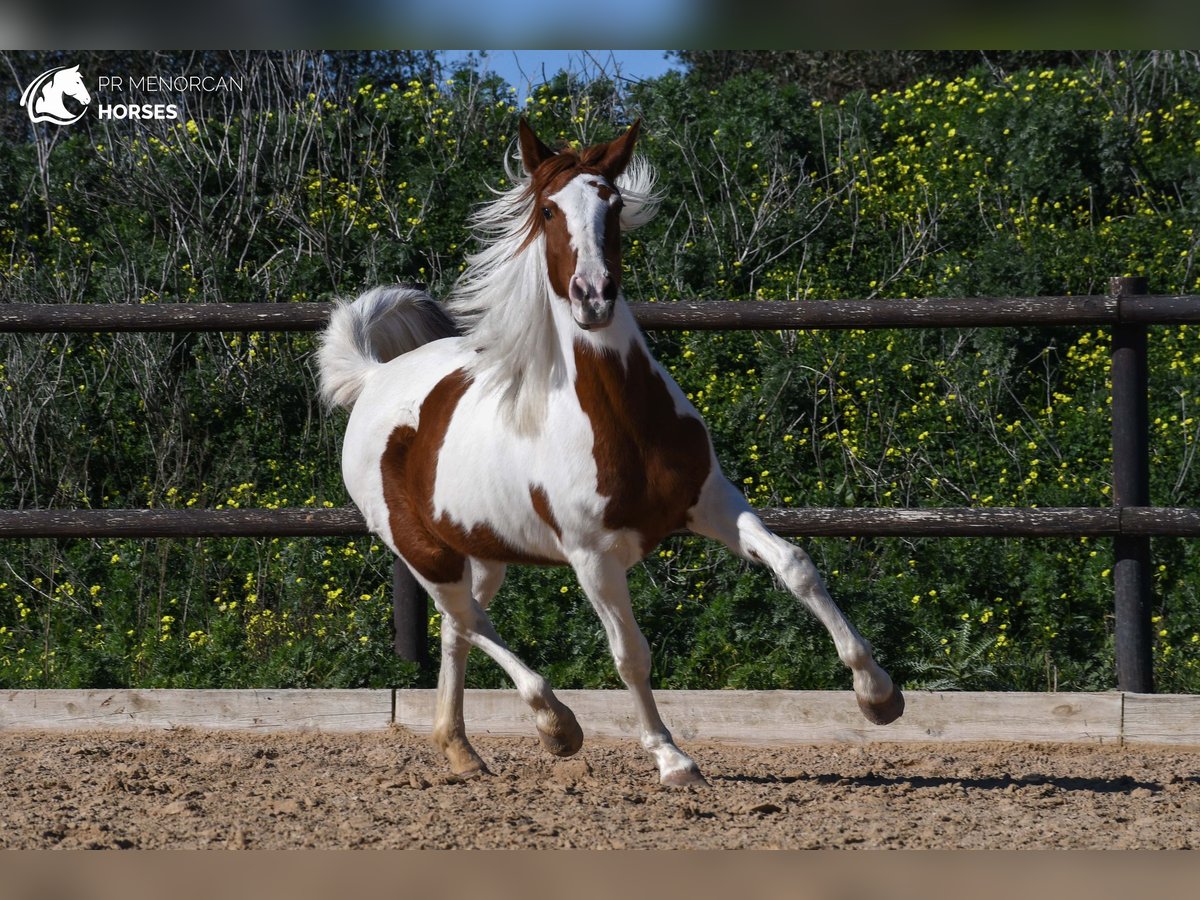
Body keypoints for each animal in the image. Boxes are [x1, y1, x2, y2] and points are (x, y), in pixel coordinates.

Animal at [319, 121, 902, 787]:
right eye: (548, 210)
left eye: (614, 204)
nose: (593, 297)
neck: (621, 423)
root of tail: (373, 379)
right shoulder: (592, 557)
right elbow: (630, 655)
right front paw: (672, 759)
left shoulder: (712, 501)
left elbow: (796, 565)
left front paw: (878, 694)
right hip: (421, 550)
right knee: (465, 617)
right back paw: (554, 724)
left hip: (483, 550)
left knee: (458, 626)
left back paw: (463, 748)